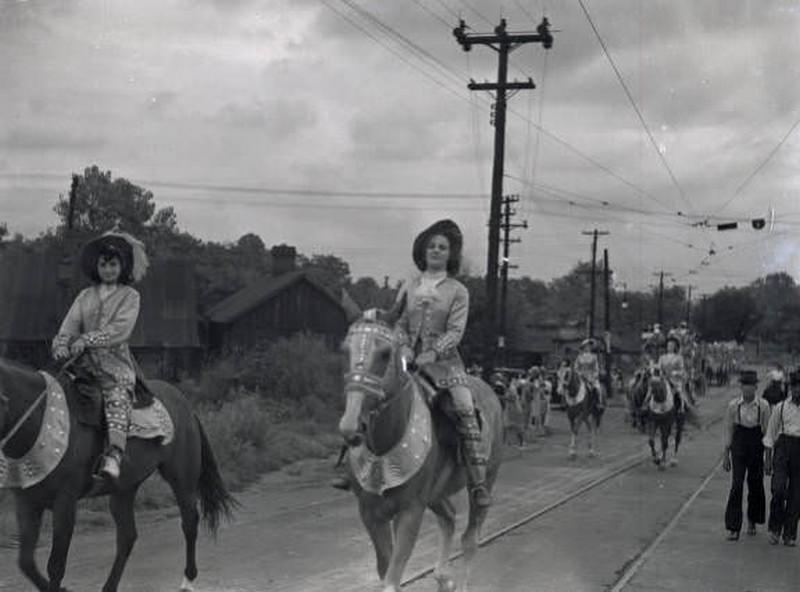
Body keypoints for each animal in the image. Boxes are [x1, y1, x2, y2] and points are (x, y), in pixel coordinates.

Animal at [0, 356, 236, 592]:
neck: (41, 419)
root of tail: (186, 405)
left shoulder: (65, 503)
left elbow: (55, 566)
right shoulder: (27, 503)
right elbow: (26, 562)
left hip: (182, 477)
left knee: (189, 521)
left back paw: (188, 580)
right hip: (124, 489)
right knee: (127, 536)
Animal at [336, 312, 500, 588]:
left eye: (385, 353)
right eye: (345, 349)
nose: (351, 426)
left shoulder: (411, 511)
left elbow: (392, 577)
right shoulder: (370, 513)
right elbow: (386, 569)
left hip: (484, 481)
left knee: (470, 539)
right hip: (436, 493)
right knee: (448, 516)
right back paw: (443, 577)